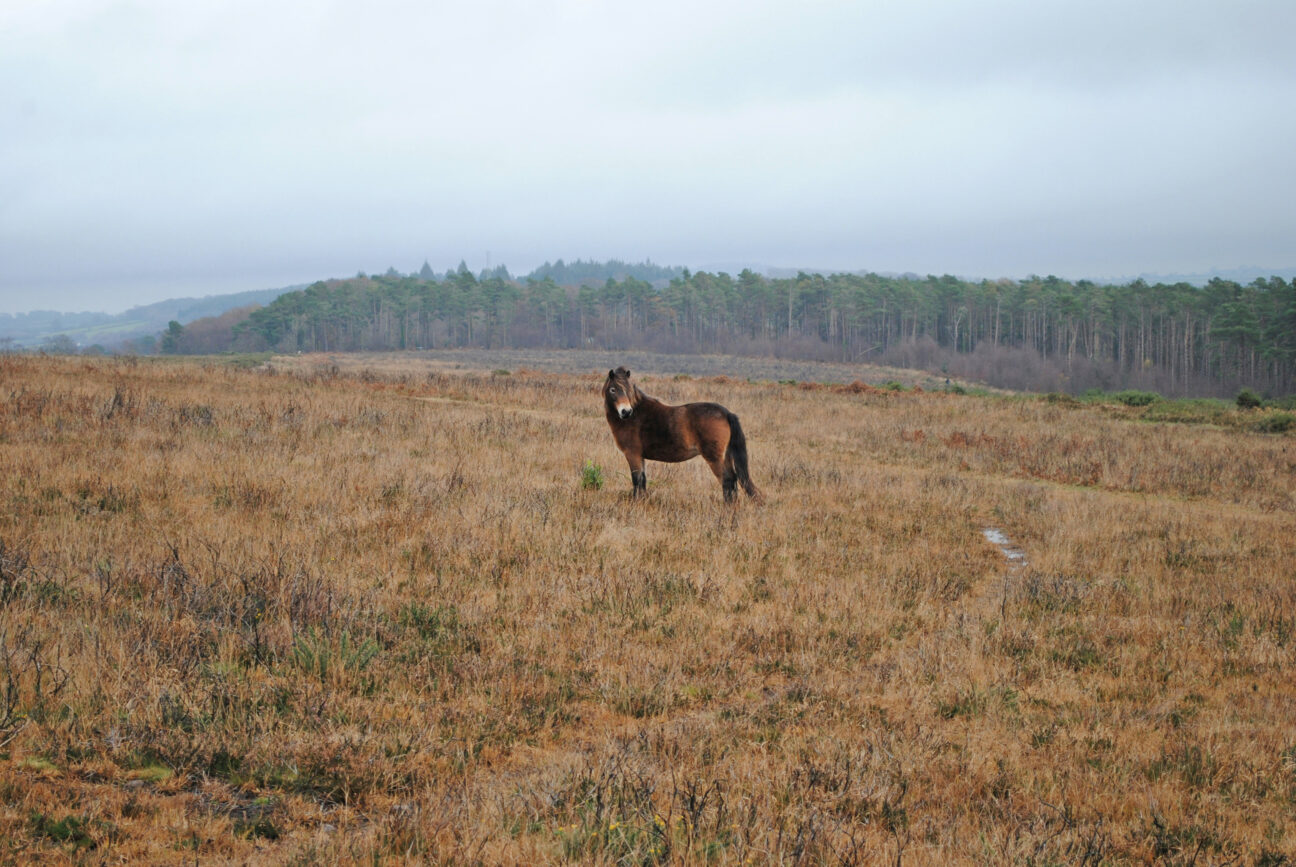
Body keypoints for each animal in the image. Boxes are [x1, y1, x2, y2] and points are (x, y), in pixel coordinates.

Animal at [603, 365, 756, 500]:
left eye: (627, 390)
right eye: (612, 389)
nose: (626, 412)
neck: (635, 415)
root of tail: (726, 413)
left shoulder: (632, 454)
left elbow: (636, 481)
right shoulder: (640, 457)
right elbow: (642, 481)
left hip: (714, 458)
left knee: (727, 480)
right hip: (726, 456)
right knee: (733, 480)